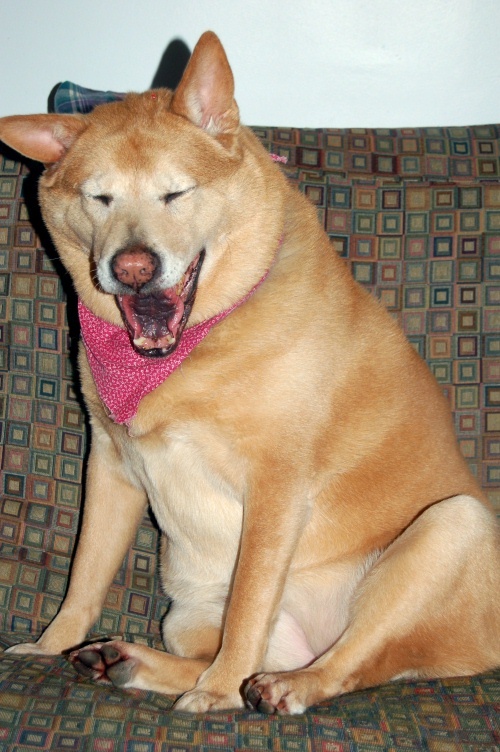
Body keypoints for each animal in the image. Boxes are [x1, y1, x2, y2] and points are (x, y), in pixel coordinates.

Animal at [0, 32, 500, 712]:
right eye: (98, 197)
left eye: (176, 193)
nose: (132, 267)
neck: (197, 345)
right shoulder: (110, 465)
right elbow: (83, 579)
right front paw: (50, 647)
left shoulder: (274, 484)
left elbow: (250, 602)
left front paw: (216, 693)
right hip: (186, 611)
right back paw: (121, 659)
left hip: (453, 524)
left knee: (351, 664)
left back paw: (277, 687)